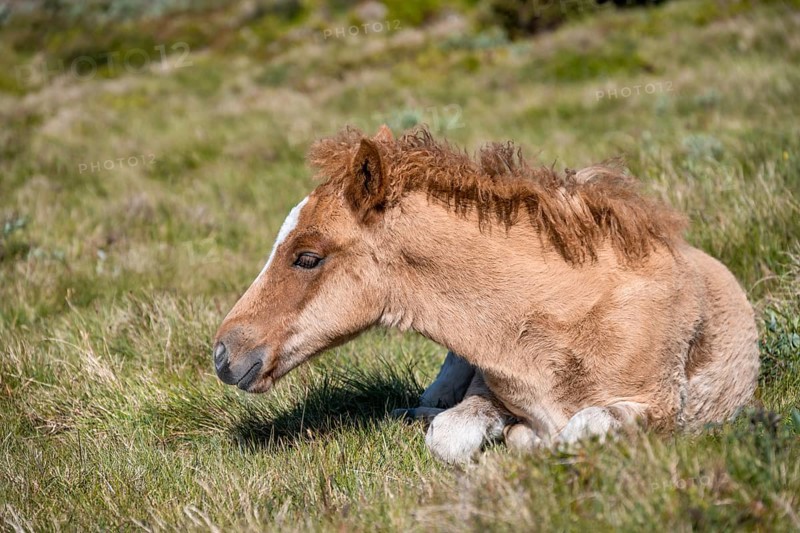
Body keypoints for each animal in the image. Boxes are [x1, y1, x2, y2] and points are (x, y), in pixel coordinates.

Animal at [212, 125, 759, 463]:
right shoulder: (486, 387)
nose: (223, 353)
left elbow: (577, 431)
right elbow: (449, 435)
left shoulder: (664, 412)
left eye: (307, 257)